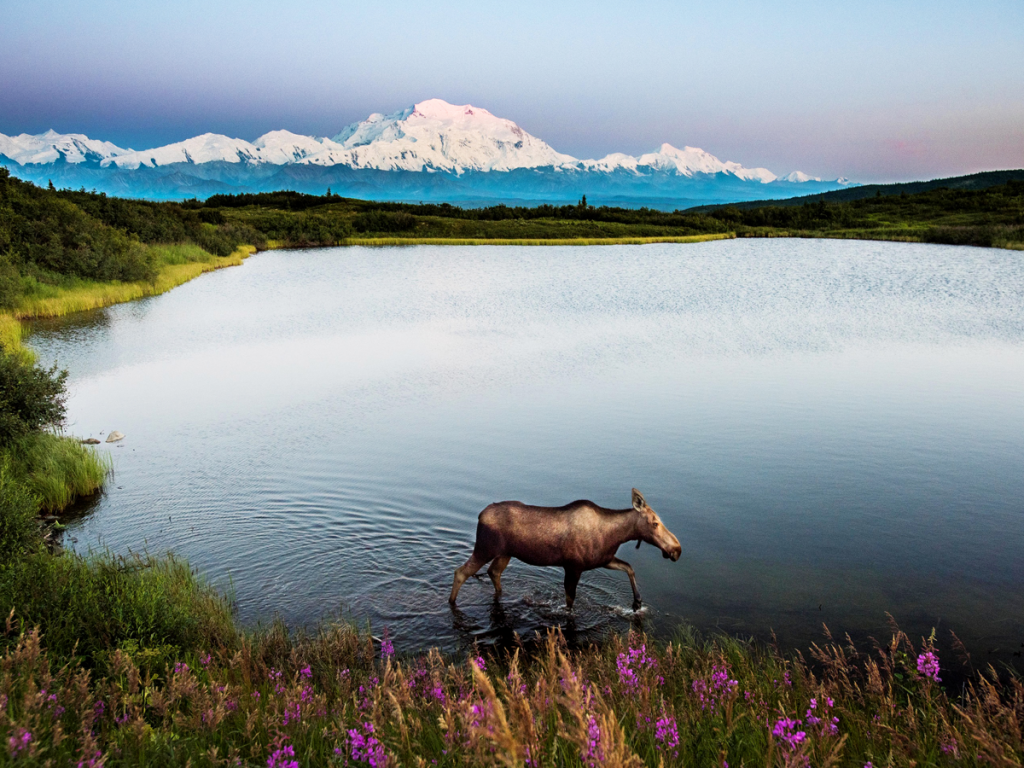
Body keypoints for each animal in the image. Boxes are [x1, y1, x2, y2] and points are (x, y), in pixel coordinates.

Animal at [449, 488, 681, 610]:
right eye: (654, 523)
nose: (677, 549)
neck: (615, 536)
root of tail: (480, 515)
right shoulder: (573, 567)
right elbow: (570, 602)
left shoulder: (604, 559)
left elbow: (629, 567)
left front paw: (637, 601)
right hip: (485, 548)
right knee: (461, 572)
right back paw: (451, 603)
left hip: (505, 553)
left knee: (493, 572)